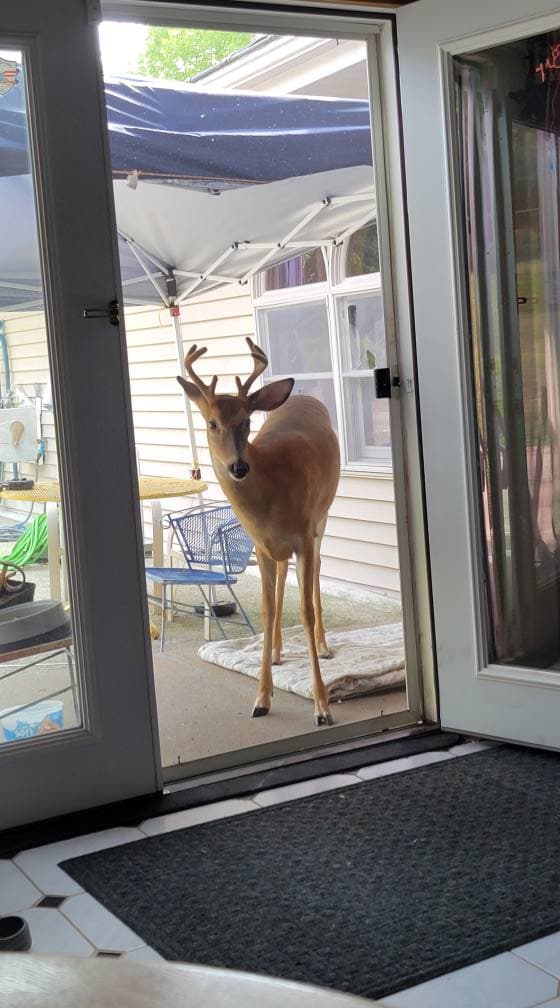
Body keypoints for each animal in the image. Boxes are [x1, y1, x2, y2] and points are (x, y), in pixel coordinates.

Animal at [177, 337, 340, 726]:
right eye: (211, 423)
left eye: (247, 421)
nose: (238, 467)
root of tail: (302, 398)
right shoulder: (261, 546)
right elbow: (266, 611)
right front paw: (262, 699)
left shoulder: (304, 535)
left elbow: (306, 611)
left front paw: (322, 706)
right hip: (280, 547)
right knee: (282, 577)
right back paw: (279, 651)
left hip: (322, 518)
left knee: (317, 572)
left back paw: (323, 645)